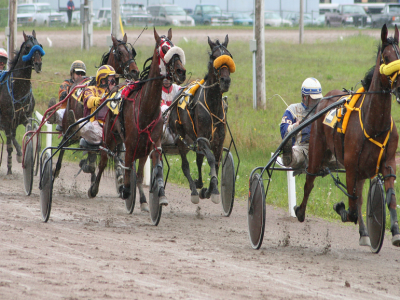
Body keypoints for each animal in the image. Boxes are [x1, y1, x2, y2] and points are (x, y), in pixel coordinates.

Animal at [0, 29, 44, 175]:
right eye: (28, 47)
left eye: (39, 45)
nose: (38, 64)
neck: (18, 89)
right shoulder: (7, 120)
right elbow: (10, 145)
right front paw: (10, 167)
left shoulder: (26, 117)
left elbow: (29, 134)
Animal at [88, 29, 187, 210]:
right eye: (164, 49)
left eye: (174, 46)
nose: (181, 71)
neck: (146, 109)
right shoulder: (131, 143)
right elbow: (127, 168)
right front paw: (126, 190)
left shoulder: (153, 144)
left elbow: (147, 171)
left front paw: (157, 196)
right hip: (109, 137)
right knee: (103, 160)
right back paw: (94, 188)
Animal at [166, 35, 234, 204]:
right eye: (214, 57)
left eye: (229, 56)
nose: (225, 81)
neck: (213, 105)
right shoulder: (203, 139)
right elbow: (210, 159)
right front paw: (214, 190)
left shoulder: (218, 140)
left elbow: (216, 162)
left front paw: (208, 189)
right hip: (181, 138)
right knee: (185, 166)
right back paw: (194, 190)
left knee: (198, 159)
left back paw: (199, 184)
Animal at [294, 23, 400, 247]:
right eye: (386, 58)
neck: (373, 123)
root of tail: (325, 99)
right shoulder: (351, 165)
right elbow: (351, 207)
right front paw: (340, 208)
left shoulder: (387, 163)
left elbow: (389, 198)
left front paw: (395, 231)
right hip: (317, 151)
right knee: (309, 181)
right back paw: (299, 211)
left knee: (357, 197)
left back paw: (364, 233)